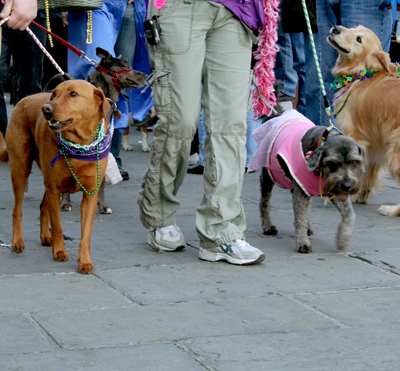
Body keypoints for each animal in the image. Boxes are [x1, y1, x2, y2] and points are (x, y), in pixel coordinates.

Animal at [0, 80, 110, 274]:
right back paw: (17, 241)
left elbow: (86, 233)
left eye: (73, 94)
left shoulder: (90, 193)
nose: (46, 108)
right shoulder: (55, 189)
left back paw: (45, 236)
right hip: (20, 168)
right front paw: (59, 251)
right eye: (54, 94)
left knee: (43, 206)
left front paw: (84, 261)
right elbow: (57, 226)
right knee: (17, 210)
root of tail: (25, 99)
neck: (79, 145)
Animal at [253, 107, 366, 253]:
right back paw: (268, 226)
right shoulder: (301, 190)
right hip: (269, 175)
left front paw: (342, 239)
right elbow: (299, 218)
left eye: (353, 162)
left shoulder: (333, 191)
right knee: (264, 201)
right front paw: (302, 243)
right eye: (333, 163)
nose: (347, 185)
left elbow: (350, 215)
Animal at [328, 24, 400, 217]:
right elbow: (369, 172)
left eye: (359, 39)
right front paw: (360, 195)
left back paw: (391, 210)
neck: (362, 74)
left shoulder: (354, 136)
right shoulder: (375, 141)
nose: (336, 28)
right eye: (353, 27)